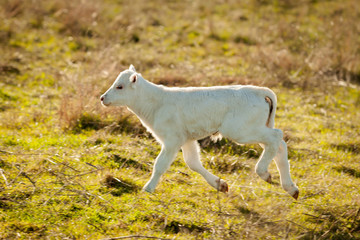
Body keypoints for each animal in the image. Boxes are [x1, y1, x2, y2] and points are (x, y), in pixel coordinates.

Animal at [100, 65, 300, 199]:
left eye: (119, 86)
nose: (102, 98)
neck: (155, 102)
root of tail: (257, 91)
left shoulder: (172, 139)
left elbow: (160, 164)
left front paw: (148, 188)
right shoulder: (187, 139)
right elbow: (193, 163)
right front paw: (220, 185)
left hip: (241, 131)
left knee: (276, 137)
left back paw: (264, 173)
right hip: (252, 129)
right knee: (279, 145)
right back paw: (291, 188)